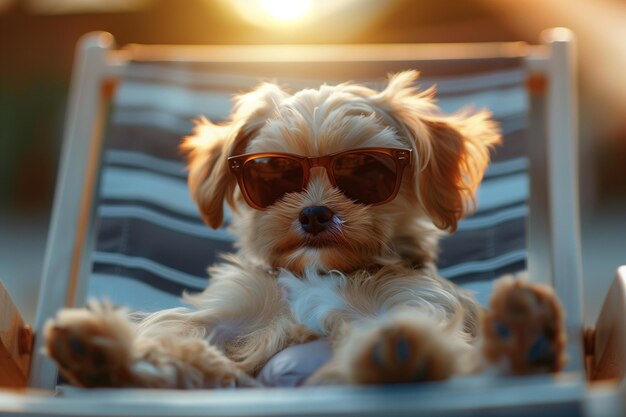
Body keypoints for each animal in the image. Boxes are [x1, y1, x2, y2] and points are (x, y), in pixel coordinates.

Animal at [44, 70, 564, 386]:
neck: (321, 273)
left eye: (366, 169)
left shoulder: (418, 306)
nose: (314, 214)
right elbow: (175, 340)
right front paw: (114, 351)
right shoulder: (229, 320)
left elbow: (449, 353)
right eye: (272, 171)